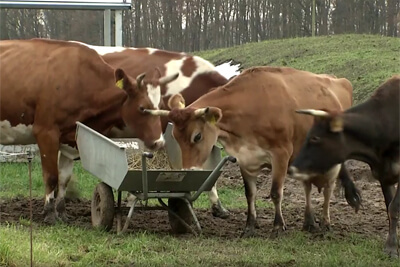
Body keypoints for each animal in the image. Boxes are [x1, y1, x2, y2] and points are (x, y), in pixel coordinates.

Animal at [0, 38, 169, 225]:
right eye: (142, 108)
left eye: (161, 106)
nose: (159, 142)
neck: (79, 79)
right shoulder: (46, 133)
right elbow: (51, 177)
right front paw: (49, 214)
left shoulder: (70, 138)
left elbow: (64, 179)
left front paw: (62, 213)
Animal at [145, 67, 360, 239]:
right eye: (175, 136)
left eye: (197, 136)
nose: (189, 170)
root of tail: (339, 80)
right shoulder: (245, 158)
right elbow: (250, 194)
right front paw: (249, 227)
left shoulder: (281, 154)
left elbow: (275, 193)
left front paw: (277, 227)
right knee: (307, 186)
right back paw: (309, 223)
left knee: (329, 188)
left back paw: (325, 224)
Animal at [290, 75, 398, 258]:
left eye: (315, 138)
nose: (292, 168)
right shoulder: (384, 175)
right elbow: (390, 207)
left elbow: (394, 208)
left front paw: (391, 248)